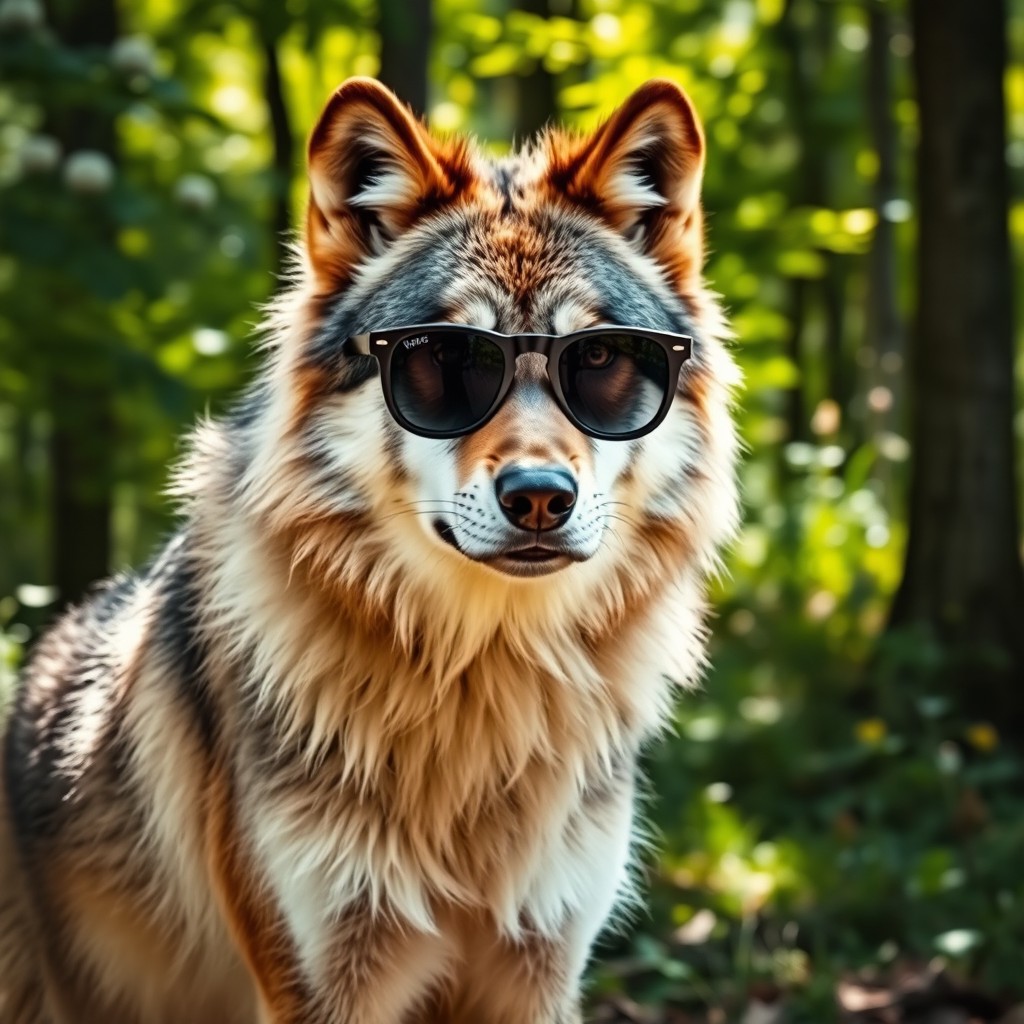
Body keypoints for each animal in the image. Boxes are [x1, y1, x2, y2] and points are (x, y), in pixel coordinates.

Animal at [0, 77, 739, 1023]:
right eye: (447, 359)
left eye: (601, 357)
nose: (540, 496)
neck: (480, 688)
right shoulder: (319, 978)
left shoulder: (542, 969)